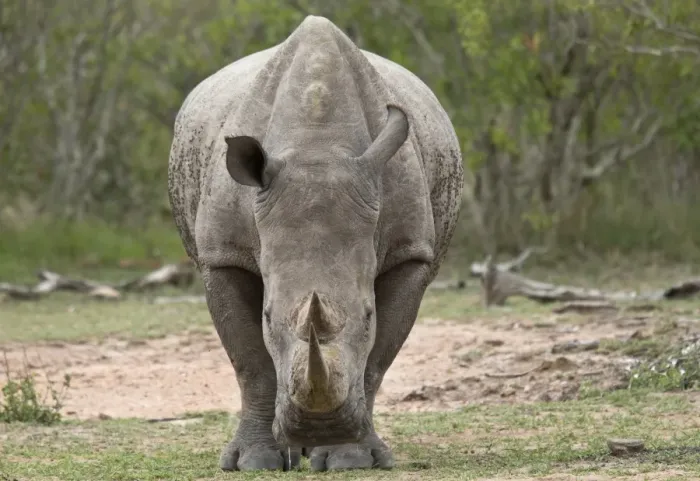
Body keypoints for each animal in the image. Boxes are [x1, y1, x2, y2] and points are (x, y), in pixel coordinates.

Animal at [168, 15, 464, 472]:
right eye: (268, 316)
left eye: (367, 315)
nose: (319, 427)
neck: (317, 145)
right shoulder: (221, 254)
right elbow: (250, 362)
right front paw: (256, 462)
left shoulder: (409, 250)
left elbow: (378, 358)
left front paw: (351, 459)